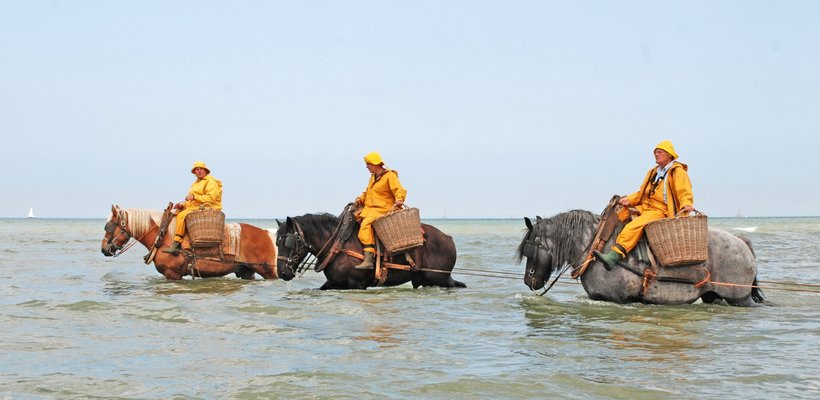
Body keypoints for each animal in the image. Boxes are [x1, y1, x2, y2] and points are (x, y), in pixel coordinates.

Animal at [98, 205, 278, 280]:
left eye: (109, 226)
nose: (104, 249)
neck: (162, 237)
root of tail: (266, 233)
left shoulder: (172, 275)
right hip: (247, 271)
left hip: (269, 272)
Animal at [278, 208, 464, 290]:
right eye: (276, 242)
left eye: (288, 242)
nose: (282, 273)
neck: (338, 245)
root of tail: (448, 238)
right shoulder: (334, 283)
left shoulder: (357, 285)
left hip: (438, 279)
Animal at [516, 209, 764, 306]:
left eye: (529, 250)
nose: (528, 281)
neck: (595, 247)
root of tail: (742, 242)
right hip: (713, 296)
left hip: (740, 298)